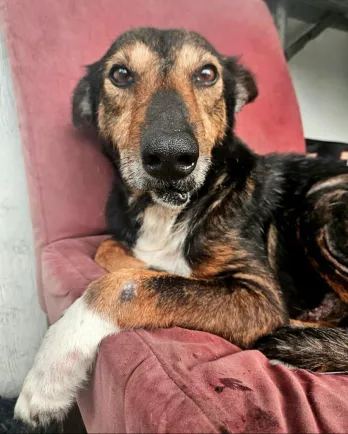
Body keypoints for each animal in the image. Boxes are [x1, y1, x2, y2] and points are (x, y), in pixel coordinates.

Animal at [13, 28, 348, 428]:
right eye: (120, 74)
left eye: (207, 74)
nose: (171, 158)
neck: (167, 210)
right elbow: (114, 254)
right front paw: (154, 267)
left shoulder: (260, 297)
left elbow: (125, 287)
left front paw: (50, 374)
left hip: (323, 200)